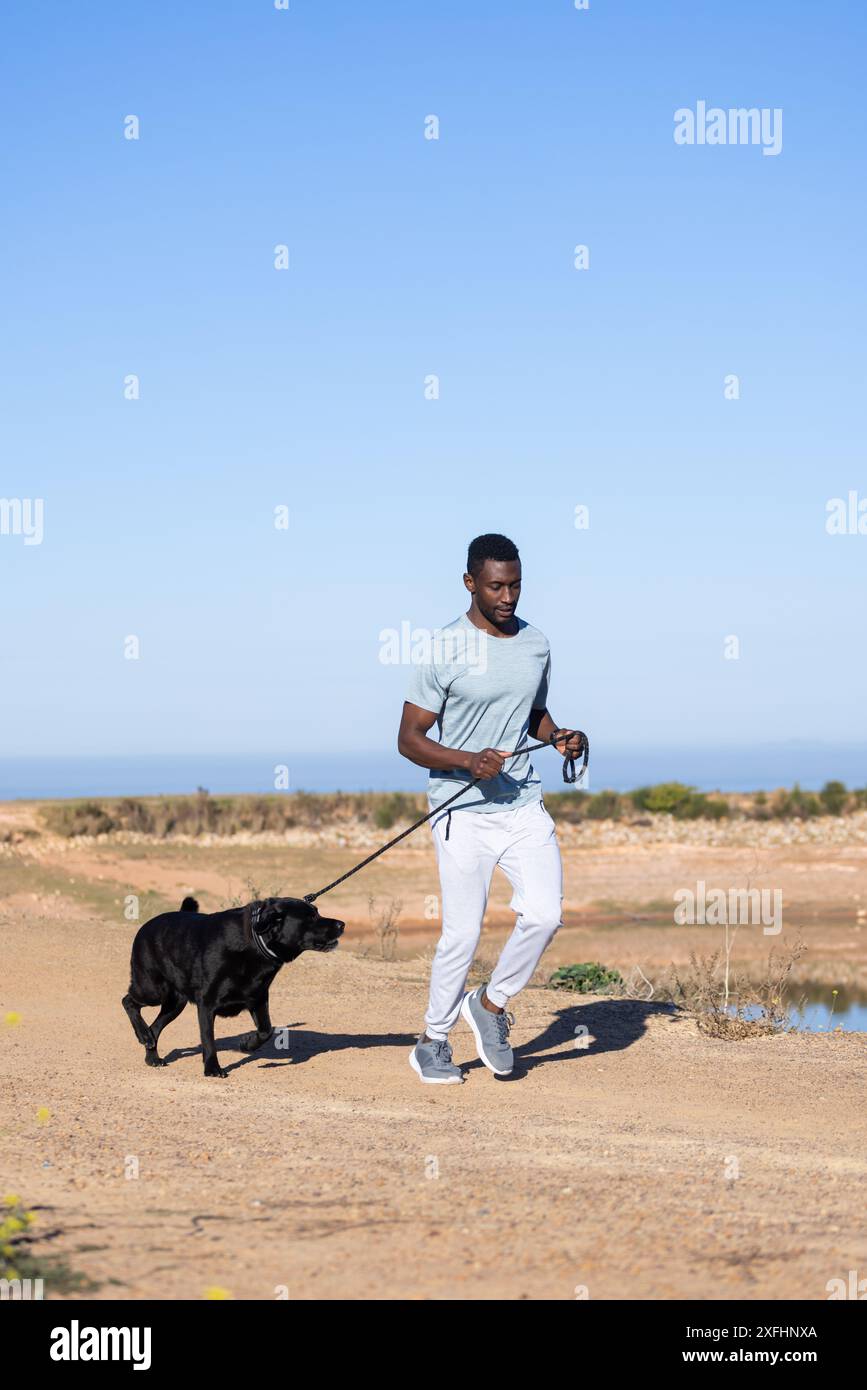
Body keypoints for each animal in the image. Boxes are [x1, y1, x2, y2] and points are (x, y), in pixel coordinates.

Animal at [122, 895, 345, 1078]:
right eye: (311, 917)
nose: (342, 924)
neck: (255, 943)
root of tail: (147, 926)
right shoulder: (207, 1004)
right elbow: (208, 1039)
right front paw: (212, 1069)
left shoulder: (258, 998)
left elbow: (266, 1030)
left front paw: (247, 1044)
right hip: (152, 990)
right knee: (128, 1001)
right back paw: (143, 1035)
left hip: (176, 1003)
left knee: (154, 1027)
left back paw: (151, 1052)